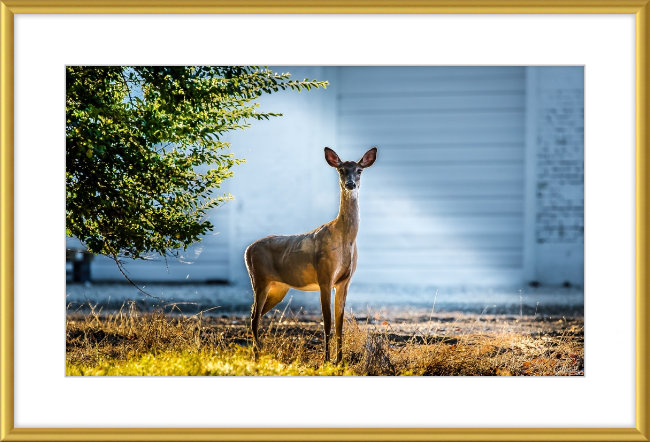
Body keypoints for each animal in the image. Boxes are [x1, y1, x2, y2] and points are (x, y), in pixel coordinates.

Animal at [242, 147, 374, 364]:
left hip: (279, 287)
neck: (345, 239)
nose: (350, 184)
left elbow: (340, 323)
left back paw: (257, 354)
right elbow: (327, 322)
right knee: (254, 316)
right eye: (341, 170)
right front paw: (326, 361)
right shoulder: (325, 276)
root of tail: (247, 250)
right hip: (259, 279)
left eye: (359, 170)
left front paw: (340, 361)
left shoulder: (344, 281)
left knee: (256, 314)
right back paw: (256, 357)